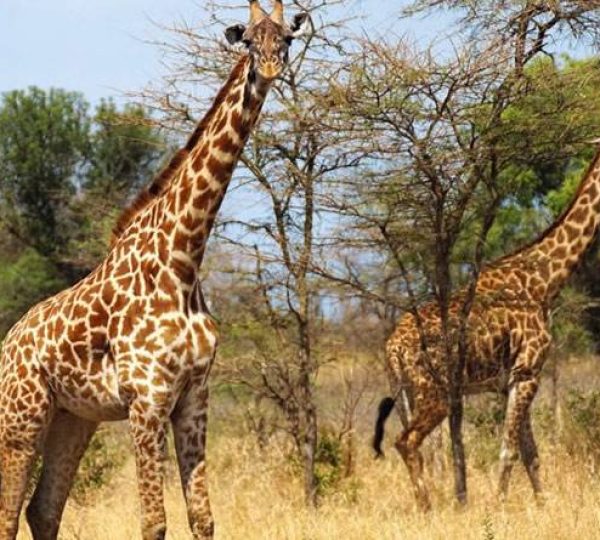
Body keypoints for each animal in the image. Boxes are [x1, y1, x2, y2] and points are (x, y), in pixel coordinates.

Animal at [0, 2, 310, 536]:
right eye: (249, 39)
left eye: (286, 38)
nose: (270, 68)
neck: (183, 259)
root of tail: (7, 346)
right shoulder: (146, 399)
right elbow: (154, 523)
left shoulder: (194, 397)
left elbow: (203, 519)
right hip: (22, 416)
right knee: (8, 512)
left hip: (73, 417)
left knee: (43, 508)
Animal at [372, 148, 600, 510]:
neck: (545, 281)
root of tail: (393, 346)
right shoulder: (528, 372)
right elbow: (509, 451)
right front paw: (498, 507)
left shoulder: (511, 380)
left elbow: (530, 454)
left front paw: (541, 506)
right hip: (436, 393)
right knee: (406, 441)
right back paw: (428, 510)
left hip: (405, 391)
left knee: (410, 443)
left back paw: (426, 505)